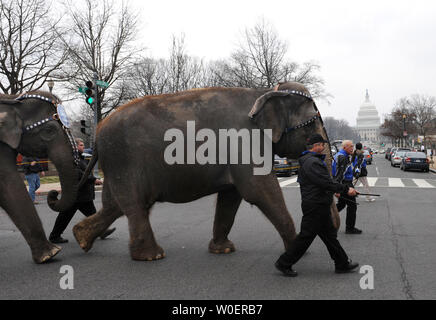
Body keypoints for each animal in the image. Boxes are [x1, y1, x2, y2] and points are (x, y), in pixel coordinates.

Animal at [73, 81, 338, 262]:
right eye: (312, 124)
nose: (335, 226)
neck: (263, 91)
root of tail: (98, 132)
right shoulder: (244, 142)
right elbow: (258, 189)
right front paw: (298, 248)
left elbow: (231, 197)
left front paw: (224, 249)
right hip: (124, 160)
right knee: (134, 205)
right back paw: (151, 256)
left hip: (116, 165)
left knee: (116, 206)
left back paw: (81, 237)